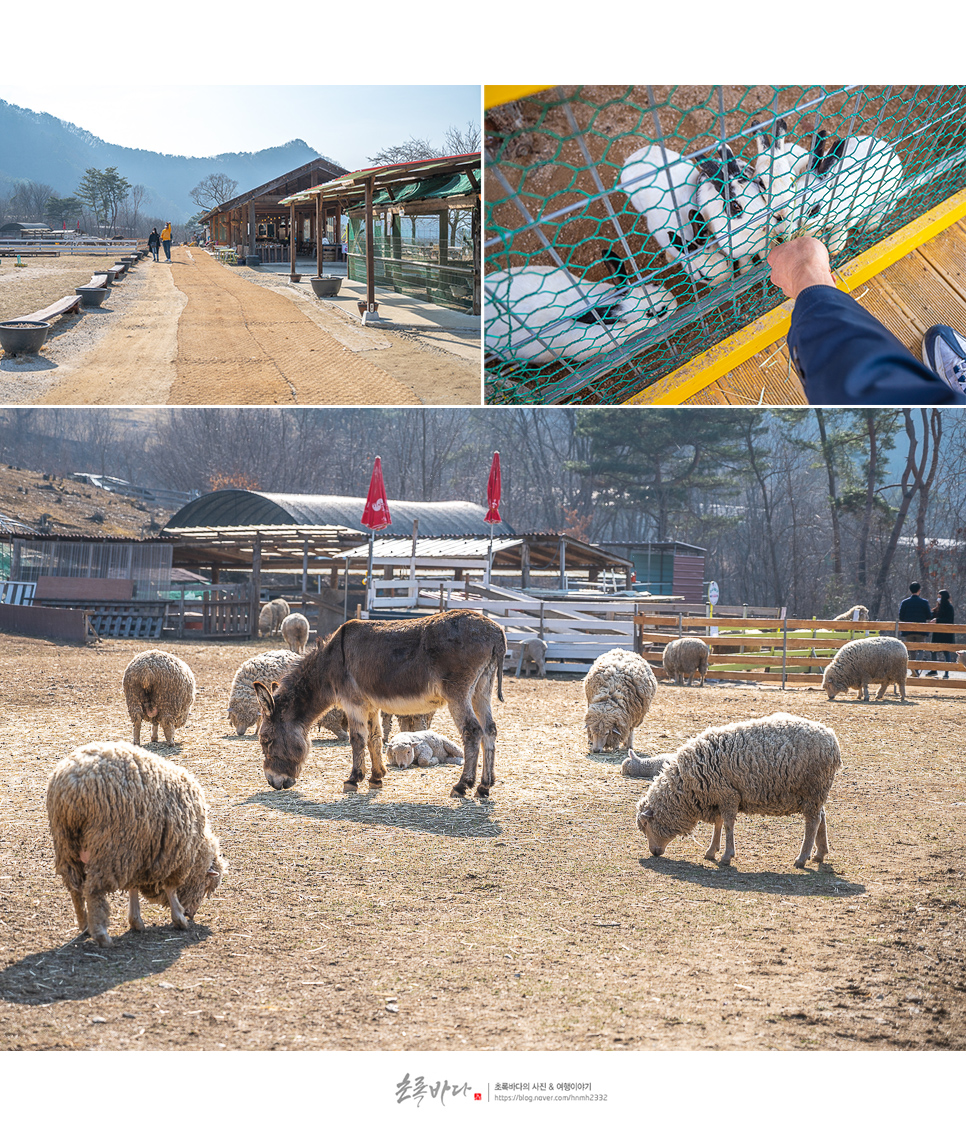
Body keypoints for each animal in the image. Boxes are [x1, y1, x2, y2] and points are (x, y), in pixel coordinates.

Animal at [46, 741, 227, 945]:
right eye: (205, 886)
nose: (191, 914)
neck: (196, 851)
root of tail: (71, 784)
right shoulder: (174, 857)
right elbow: (170, 888)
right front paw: (179, 918)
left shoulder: (137, 853)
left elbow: (133, 888)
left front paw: (136, 922)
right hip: (108, 847)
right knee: (93, 890)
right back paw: (101, 935)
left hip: (65, 842)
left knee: (75, 888)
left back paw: (85, 925)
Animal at [690, 144, 790, 272]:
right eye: (735, 206)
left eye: (758, 188)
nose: (763, 224)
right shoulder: (740, 253)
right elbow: (745, 261)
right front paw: (746, 270)